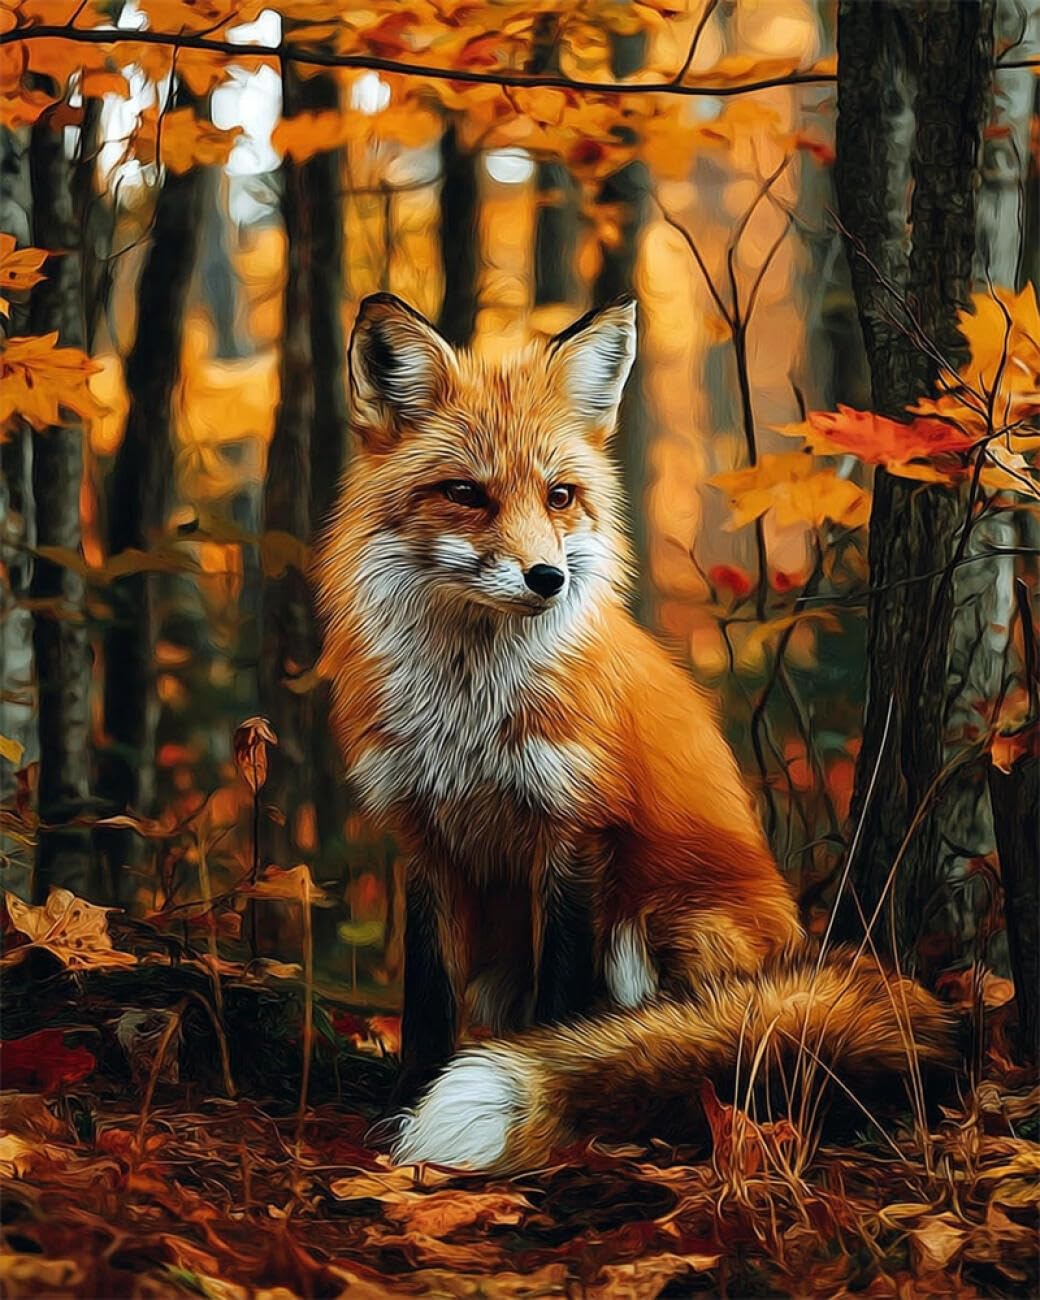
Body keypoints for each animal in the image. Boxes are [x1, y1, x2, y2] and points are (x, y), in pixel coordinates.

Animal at [313, 292, 953, 1166]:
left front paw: (549, 1075)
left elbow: (563, 999)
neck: (469, 709)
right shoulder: (422, 834)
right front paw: (404, 1102)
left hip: (663, 920)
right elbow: (427, 996)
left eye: (559, 496)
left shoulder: (577, 829)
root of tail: (807, 952)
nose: (546, 577)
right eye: (466, 494)